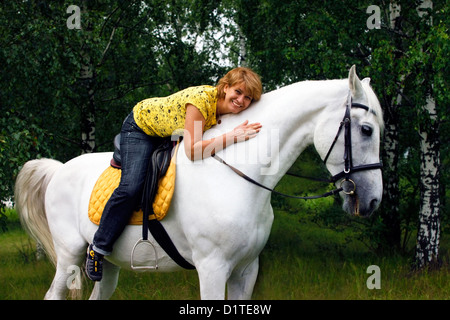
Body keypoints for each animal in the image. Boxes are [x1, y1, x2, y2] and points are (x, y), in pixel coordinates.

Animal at [14, 65, 384, 300]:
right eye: (366, 129)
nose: (373, 201)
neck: (238, 175)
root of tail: (59, 170)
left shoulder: (245, 270)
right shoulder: (212, 269)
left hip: (110, 268)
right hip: (69, 255)